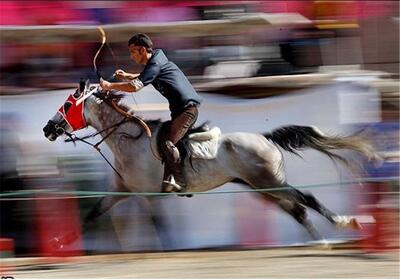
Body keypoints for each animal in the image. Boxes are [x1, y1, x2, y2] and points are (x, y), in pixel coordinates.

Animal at [42, 80, 380, 248]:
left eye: (67, 105)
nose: (48, 128)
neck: (129, 141)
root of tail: (265, 138)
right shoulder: (122, 191)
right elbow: (92, 214)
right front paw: (59, 241)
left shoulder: (148, 195)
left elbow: (159, 225)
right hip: (261, 187)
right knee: (297, 210)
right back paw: (320, 241)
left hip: (270, 181)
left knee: (306, 198)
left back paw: (343, 223)